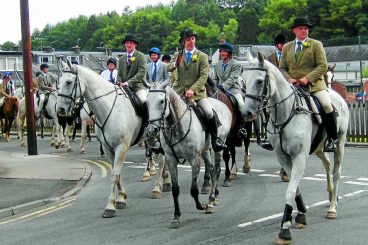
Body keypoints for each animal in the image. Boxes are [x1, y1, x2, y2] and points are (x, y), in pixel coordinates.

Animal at [145, 82, 231, 228]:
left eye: (162, 101)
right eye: (146, 102)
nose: (152, 130)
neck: (177, 126)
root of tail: (221, 104)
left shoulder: (194, 159)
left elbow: (193, 189)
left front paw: (201, 206)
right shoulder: (171, 160)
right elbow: (175, 190)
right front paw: (176, 216)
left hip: (218, 148)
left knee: (217, 170)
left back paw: (211, 201)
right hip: (205, 151)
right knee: (212, 169)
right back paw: (212, 199)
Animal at [243, 52, 350, 244]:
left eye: (260, 81)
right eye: (244, 81)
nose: (247, 113)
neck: (286, 113)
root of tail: (335, 95)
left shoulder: (299, 156)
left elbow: (290, 190)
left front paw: (285, 229)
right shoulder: (283, 157)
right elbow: (295, 187)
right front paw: (301, 215)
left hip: (340, 145)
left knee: (336, 172)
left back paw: (332, 207)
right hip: (319, 149)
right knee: (328, 165)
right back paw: (332, 195)